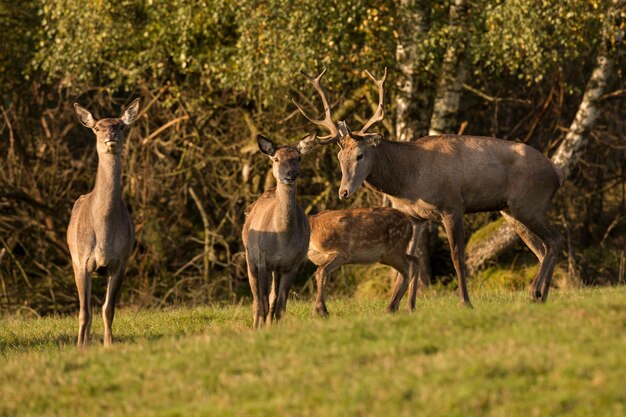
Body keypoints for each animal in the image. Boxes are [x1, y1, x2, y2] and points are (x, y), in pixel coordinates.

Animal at [67, 99, 140, 346]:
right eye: (98, 127)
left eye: (121, 126)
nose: (111, 134)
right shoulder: (82, 261)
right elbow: (84, 312)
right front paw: (79, 347)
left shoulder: (121, 261)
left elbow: (108, 309)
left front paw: (109, 344)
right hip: (74, 259)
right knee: (85, 310)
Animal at [241, 133, 314, 328]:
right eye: (276, 159)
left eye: (298, 157)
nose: (291, 174)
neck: (283, 239)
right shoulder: (263, 260)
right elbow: (263, 301)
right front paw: (260, 328)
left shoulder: (293, 264)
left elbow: (281, 304)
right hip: (250, 256)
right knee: (256, 299)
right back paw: (256, 324)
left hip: (276, 268)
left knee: (272, 297)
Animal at [294, 68, 564, 306]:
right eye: (340, 157)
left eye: (360, 155)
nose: (344, 192)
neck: (409, 180)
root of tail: (556, 173)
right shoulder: (415, 217)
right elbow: (414, 261)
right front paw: (399, 305)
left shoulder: (452, 206)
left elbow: (457, 256)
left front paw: (465, 301)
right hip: (511, 211)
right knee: (541, 249)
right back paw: (541, 296)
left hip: (529, 203)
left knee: (554, 240)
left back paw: (534, 292)